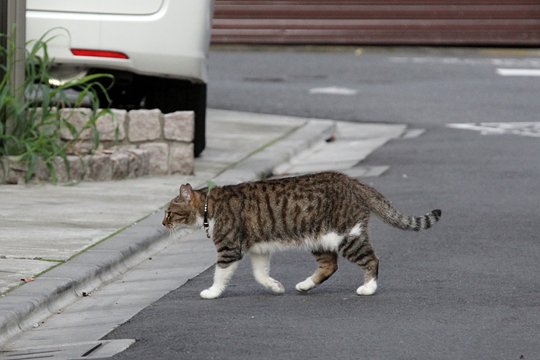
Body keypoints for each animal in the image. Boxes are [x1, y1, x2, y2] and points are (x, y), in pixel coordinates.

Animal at [162, 171, 440, 298]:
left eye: (169, 212)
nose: (163, 223)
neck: (209, 206)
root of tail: (352, 180)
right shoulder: (259, 250)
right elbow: (260, 274)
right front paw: (275, 287)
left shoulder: (229, 249)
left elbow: (220, 274)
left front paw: (211, 292)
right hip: (320, 239)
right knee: (330, 265)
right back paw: (305, 285)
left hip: (347, 236)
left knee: (372, 259)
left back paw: (368, 288)